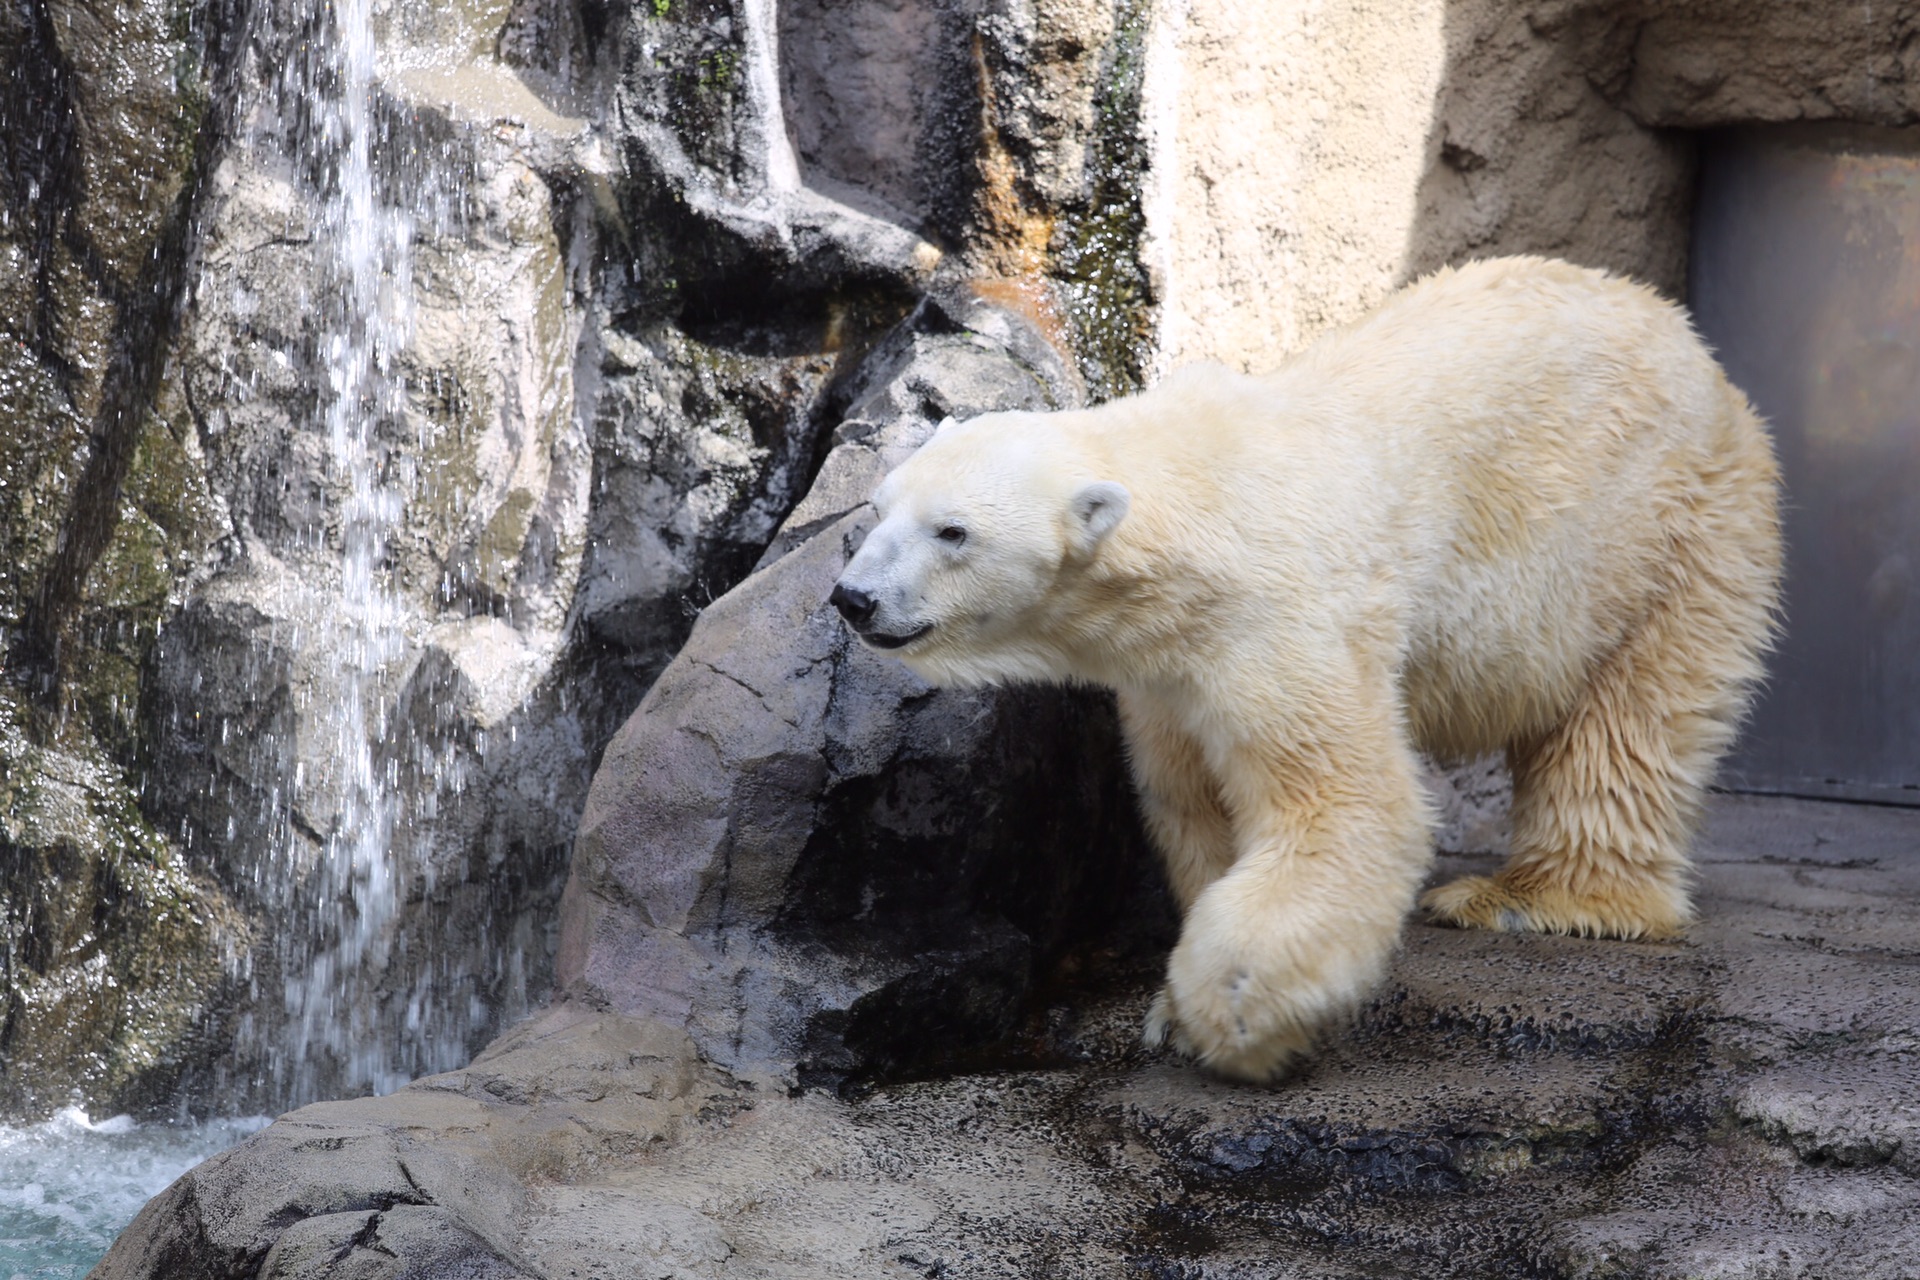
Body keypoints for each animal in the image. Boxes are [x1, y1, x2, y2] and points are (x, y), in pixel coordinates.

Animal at [829, 260, 1781, 1082]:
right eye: (877, 508)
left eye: (953, 531)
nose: (854, 598)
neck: (1198, 499)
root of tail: (1681, 332)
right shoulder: (1168, 671)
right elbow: (1195, 801)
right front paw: (1175, 1009)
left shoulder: (1281, 615)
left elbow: (1338, 805)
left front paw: (1233, 1012)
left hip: (1673, 528)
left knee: (1630, 719)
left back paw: (1534, 897)